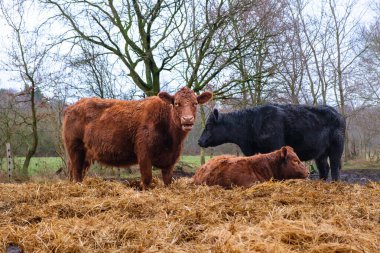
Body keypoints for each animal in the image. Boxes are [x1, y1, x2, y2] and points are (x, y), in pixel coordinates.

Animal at [62, 87, 211, 188]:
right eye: (177, 104)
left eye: (195, 103)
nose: (187, 119)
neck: (172, 141)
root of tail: (72, 106)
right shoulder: (144, 155)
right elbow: (147, 179)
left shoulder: (170, 161)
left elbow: (168, 182)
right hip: (75, 149)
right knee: (76, 173)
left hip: (86, 155)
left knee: (79, 173)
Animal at [199, 104, 348, 181]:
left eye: (209, 125)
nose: (199, 141)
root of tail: (338, 114)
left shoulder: (275, 145)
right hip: (320, 153)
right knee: (324, 168)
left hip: (336, 148)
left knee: (334, 167)